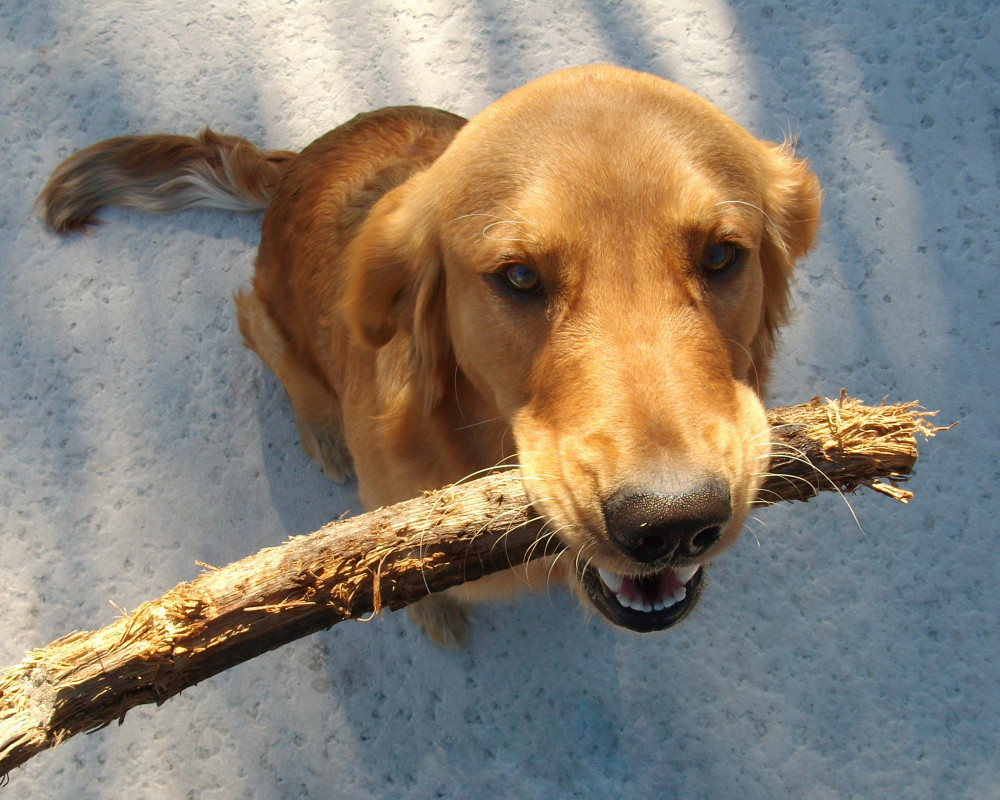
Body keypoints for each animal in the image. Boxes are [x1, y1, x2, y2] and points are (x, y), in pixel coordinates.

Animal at [39, 65, 820, 648]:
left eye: (721, 256)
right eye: (519, 276)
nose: (674, 521)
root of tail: (296, 163)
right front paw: (427, 604)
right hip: (262, 317)